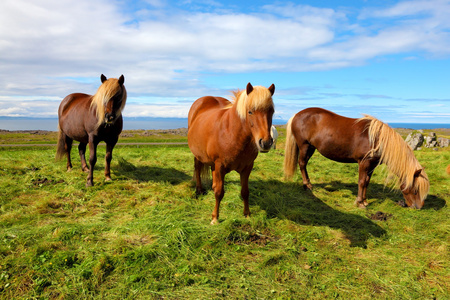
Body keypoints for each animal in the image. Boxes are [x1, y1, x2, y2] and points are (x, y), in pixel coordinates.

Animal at [186, 83, 274, 224]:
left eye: (272, 111)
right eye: (250, 111)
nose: (265, 143)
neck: (232, 133)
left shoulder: (247, 167)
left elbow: (245, 191)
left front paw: (247, 214)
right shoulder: (220, 166)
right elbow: (219, 192)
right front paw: (215, 218)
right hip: (198, 155)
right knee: (198, 168)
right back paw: (199, 190)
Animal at [284, 107, 428, 209]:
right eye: (416, 189)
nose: (418, 207)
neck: (378, 139)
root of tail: (296, 115)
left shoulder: (372, 165)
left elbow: (367, 182)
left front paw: (364, 201)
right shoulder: (364, 163)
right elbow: (362, 182)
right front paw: (360, 203)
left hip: (311, 148)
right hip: (304, 146)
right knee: (302, 164)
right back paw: (307, 185)